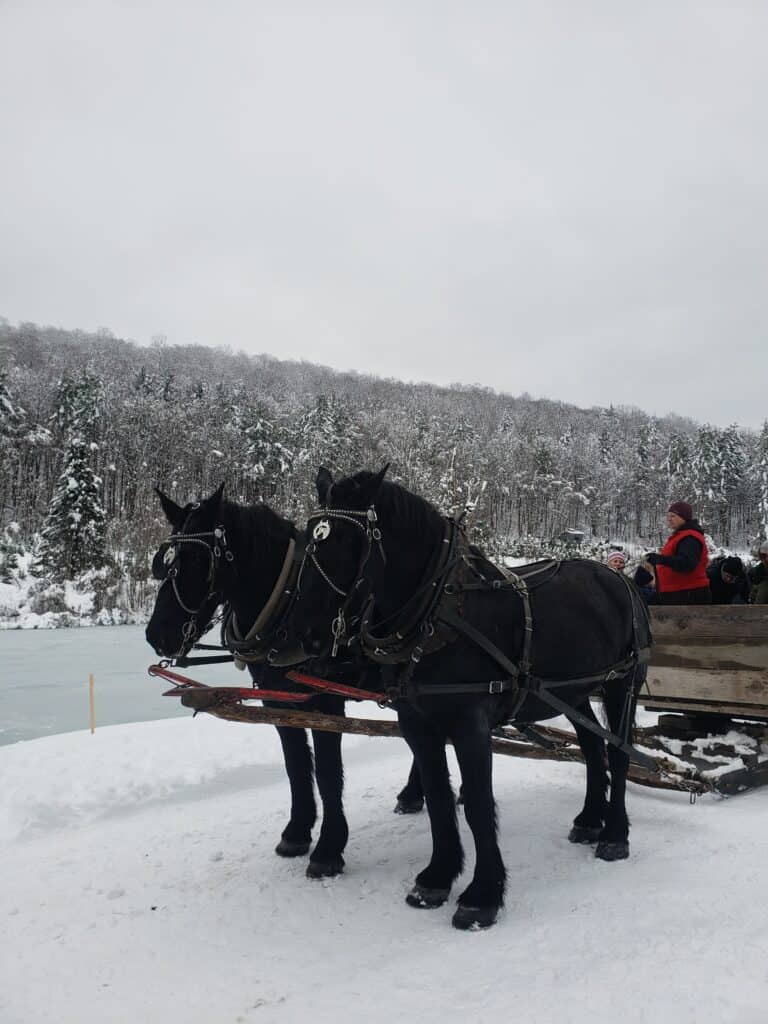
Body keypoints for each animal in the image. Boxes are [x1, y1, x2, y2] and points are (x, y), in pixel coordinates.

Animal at [145, 487, 428, 880]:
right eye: (162, 562)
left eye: (196, 561)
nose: (157, 635)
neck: (285, 606)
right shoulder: (277, 701)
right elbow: (296, 765)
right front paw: (296, 833)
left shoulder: (324, 702)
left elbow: (327, 772)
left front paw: (328, 849)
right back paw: (415, 794)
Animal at [274, 468, 651, 933]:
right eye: (309, 539)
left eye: (345, 541)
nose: (297, 636)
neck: (438, 614)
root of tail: (620, 578)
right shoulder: (417, 724)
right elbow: (438, 797)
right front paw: (437, 878)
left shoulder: (471, 724)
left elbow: (476, 802)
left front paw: (482, 895)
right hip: (573, 692)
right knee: (594, 747)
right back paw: (588, 820)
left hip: (621, 685)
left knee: (618, 754)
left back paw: (614, 834)